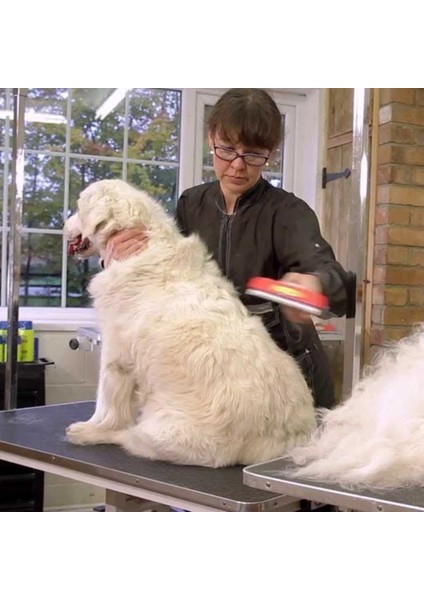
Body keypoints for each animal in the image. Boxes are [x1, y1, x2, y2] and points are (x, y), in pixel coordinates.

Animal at [63, 178, 314, 468]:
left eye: (78, 207)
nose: (63, 226)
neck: (143, 245)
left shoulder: (115, 353)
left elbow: (106, 401)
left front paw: (92, 427)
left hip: (160, 433)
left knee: (129, 435)